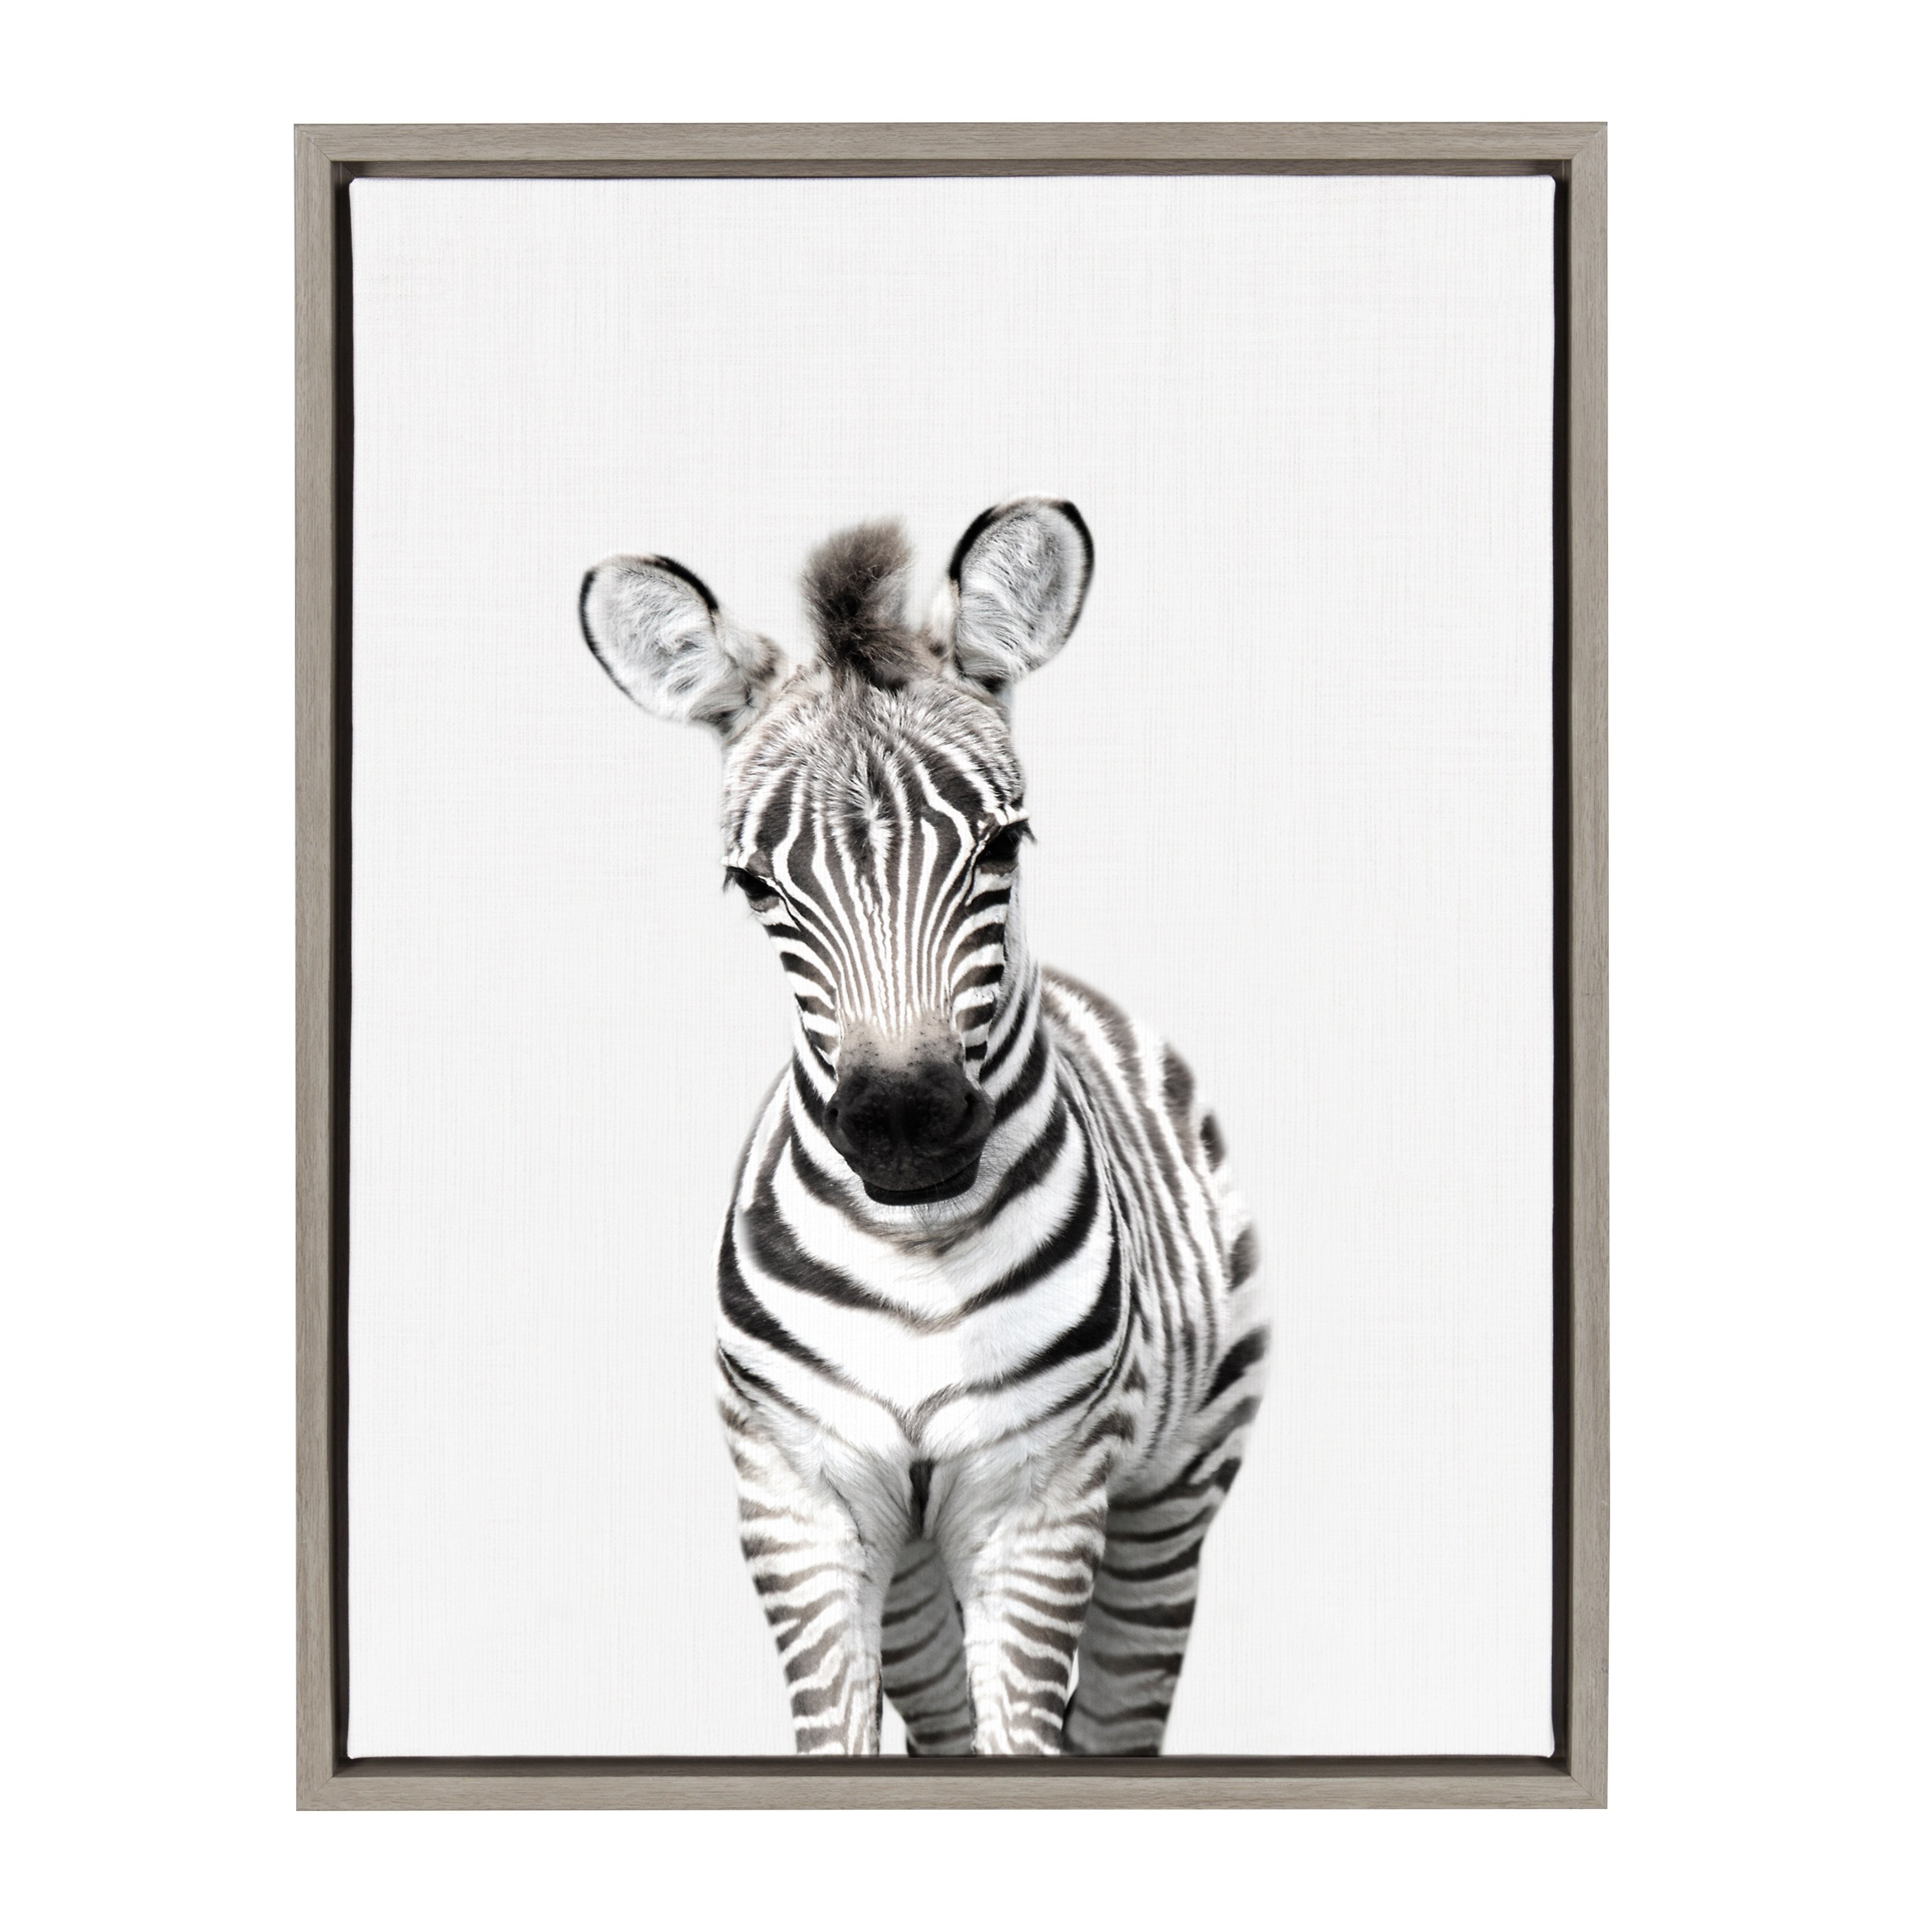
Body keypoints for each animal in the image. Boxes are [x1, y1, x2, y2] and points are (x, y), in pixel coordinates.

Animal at [580, 498, 1268, 1756]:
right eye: (754, 885)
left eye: (1003, 844)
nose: (906, 1129)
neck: (919, 1259)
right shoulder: (796, 1497)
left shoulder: (1040, 1499)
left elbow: (1029, 1740)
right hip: (905, 1571)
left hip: (1175, 1489)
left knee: (1120, 1713)